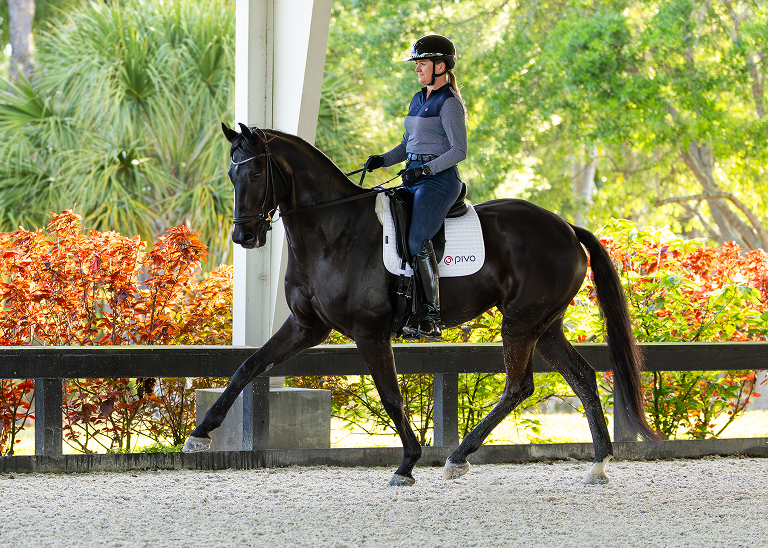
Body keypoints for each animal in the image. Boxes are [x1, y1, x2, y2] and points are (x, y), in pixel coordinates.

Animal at [182, 122, 660, 486]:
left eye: (255, 175)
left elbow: (391, 395)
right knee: (581, 377)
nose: (244, 236)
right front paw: (200, 434)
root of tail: (566, 227)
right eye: (231, 175)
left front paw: (407, 463)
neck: (333, 230)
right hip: (546, 326)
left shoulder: (369, 332)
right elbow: (249, 365)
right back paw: (598, 463)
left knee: (519, 386)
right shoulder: (306, 326)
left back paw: (459, 457)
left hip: (521, 322)